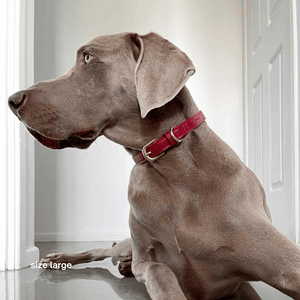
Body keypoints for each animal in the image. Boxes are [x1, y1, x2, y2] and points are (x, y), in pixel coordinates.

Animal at [8, 31, 300, 298]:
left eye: (88, 57)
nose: (12, 100)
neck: (172, 169)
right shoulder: (146, 259)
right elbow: (161, 271)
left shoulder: (281, 263)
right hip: (126, 245)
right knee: (104, 249)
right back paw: (60, 258)